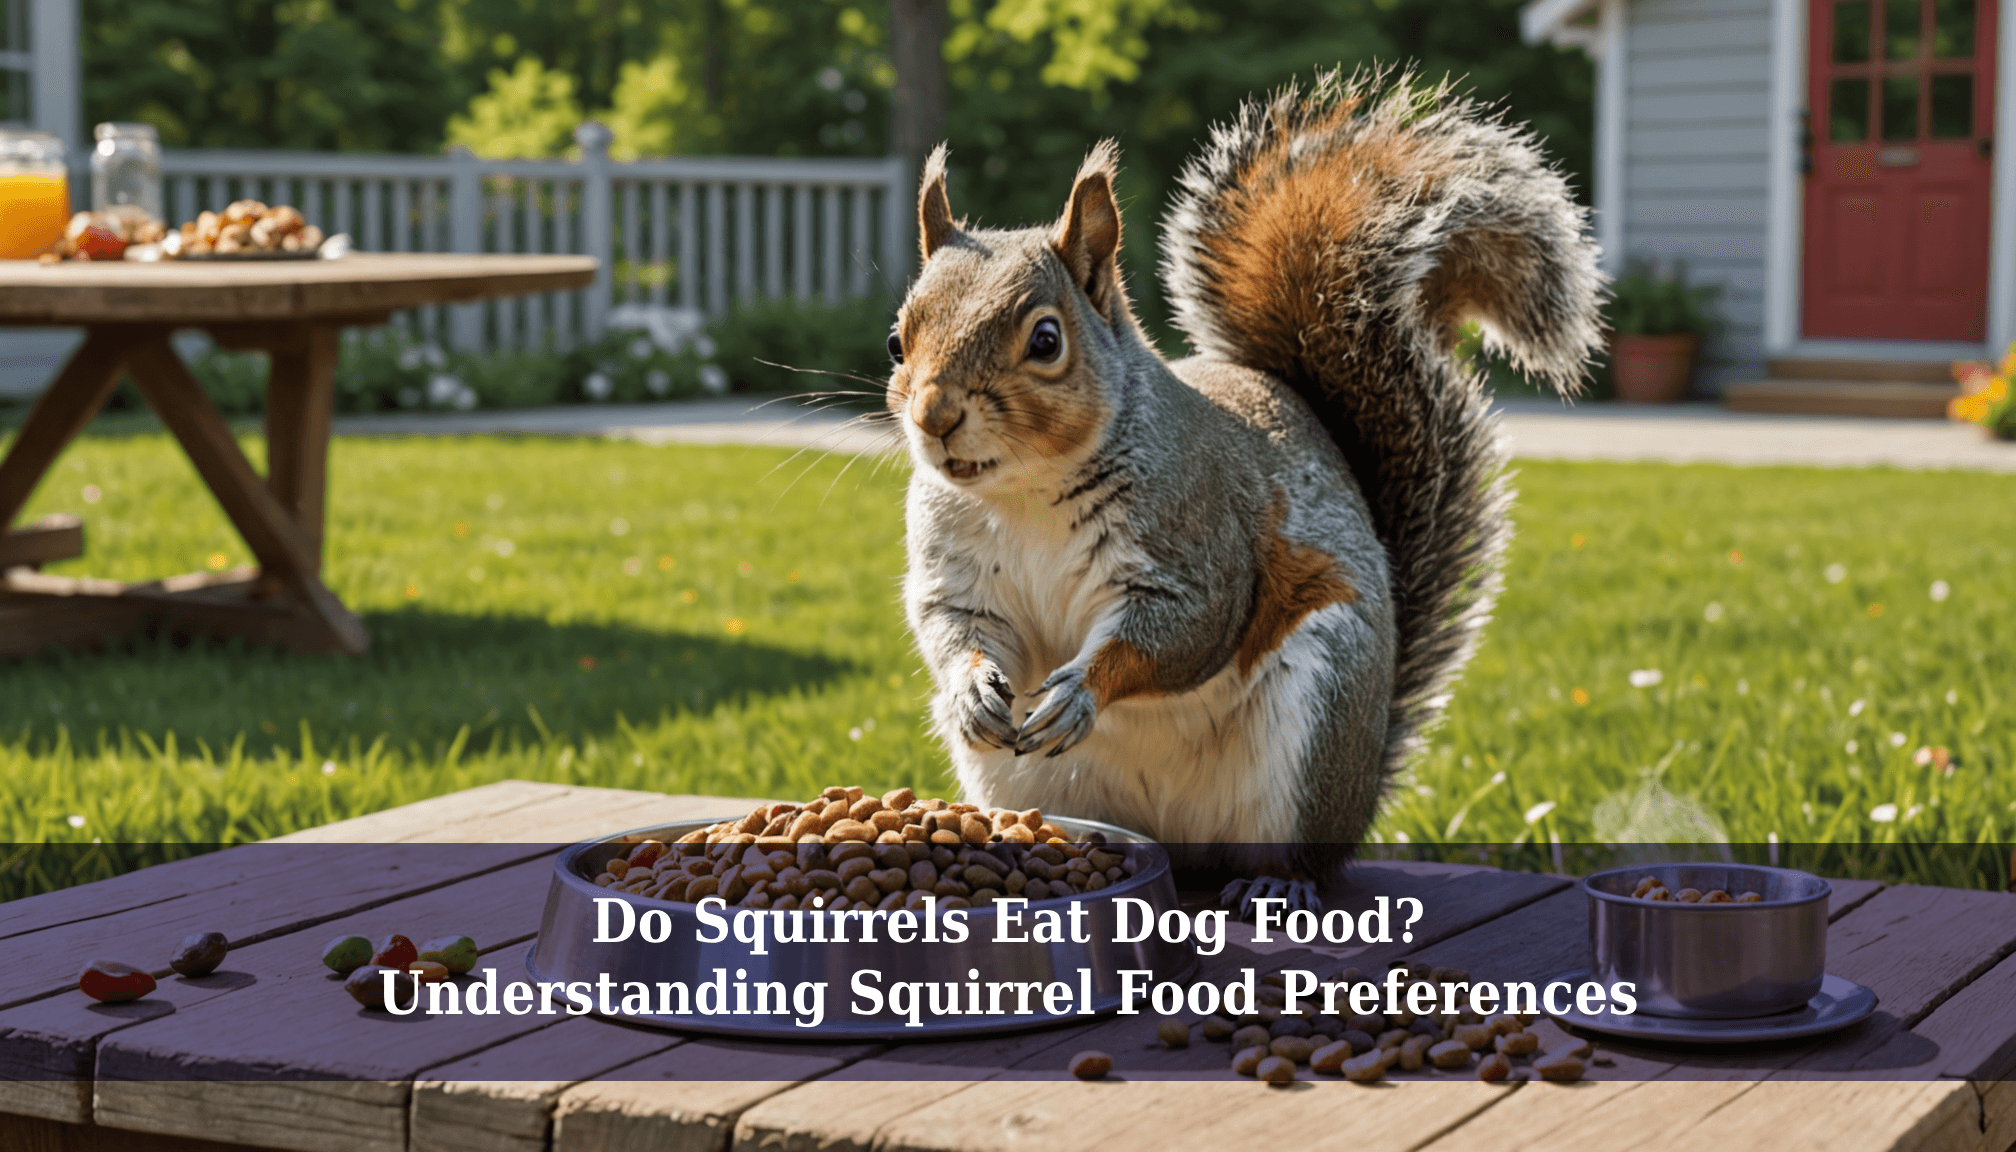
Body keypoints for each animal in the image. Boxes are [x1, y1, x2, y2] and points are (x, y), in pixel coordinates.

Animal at [884, 70, 1604, 911]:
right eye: (898, 340)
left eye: (1046, 340)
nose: (935, 417)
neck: (1026, 492)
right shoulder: (958, 570)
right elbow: (953, 626)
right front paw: (972, 690)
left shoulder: (1194, 544)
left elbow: (1181, 632)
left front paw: (1081, 692)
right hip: (1024, 777)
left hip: (1317, 718)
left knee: (1297, 853)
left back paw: (1275, 885)